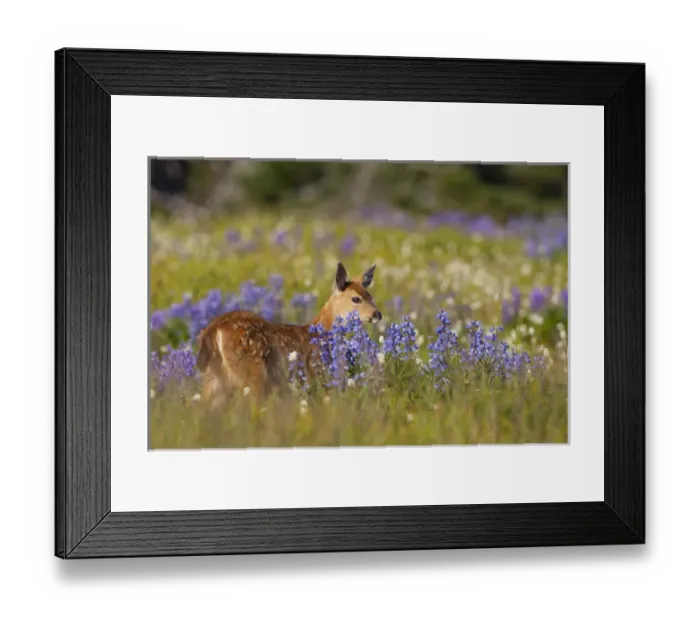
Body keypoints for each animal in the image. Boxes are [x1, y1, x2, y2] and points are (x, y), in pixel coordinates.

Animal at [196, 262, 382, 407]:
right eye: (356, 299)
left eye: (370, 296)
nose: (377, 314)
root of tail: (214, 328)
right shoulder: (318, 372)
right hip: (251, 371)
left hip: (214, 378)